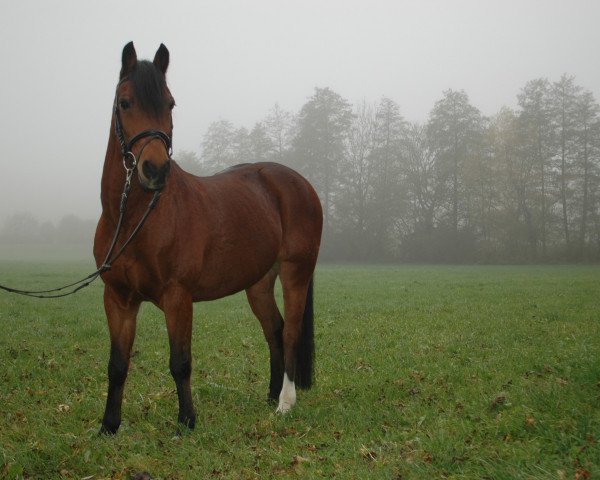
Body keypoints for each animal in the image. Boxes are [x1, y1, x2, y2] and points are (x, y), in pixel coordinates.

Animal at [92, 43, 324, 436]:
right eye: (125, 102)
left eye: (170, 104)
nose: (155, 170)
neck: (135, 219)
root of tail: (299, 183)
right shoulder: (118, 299)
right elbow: (118, 364)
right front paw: (109, 425)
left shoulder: (177, 297)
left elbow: (180, 361)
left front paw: (186, 421)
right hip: (258, 283)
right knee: (275, 331)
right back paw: (269, 395)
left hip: (296, 272)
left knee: (291, 332)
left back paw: (285, 403)